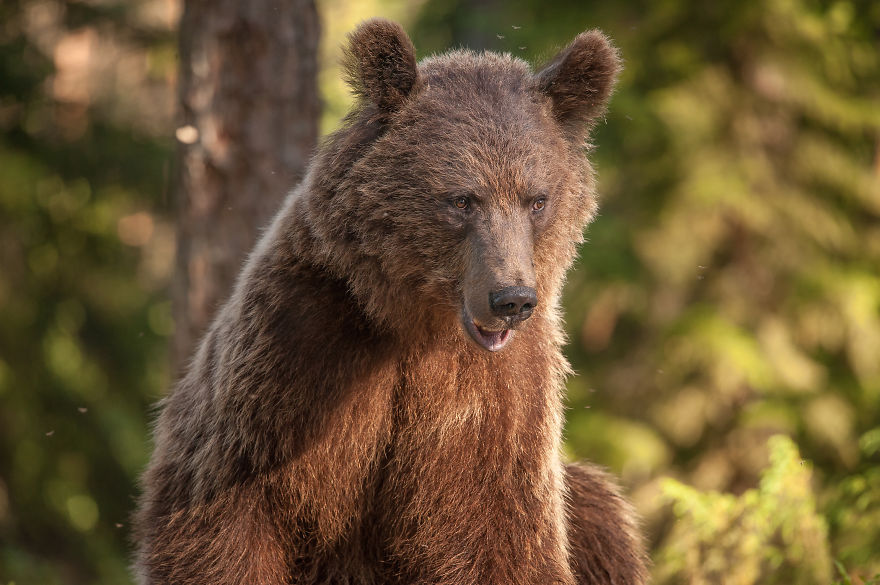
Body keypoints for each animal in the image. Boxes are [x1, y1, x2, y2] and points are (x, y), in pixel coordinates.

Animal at [134, 18, 648, 585]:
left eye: (537, 200)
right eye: (461, 199)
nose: (511, 299)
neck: (416, 323)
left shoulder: (497, 399)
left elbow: (494, 531)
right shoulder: (291, 355)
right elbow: (228, 513)